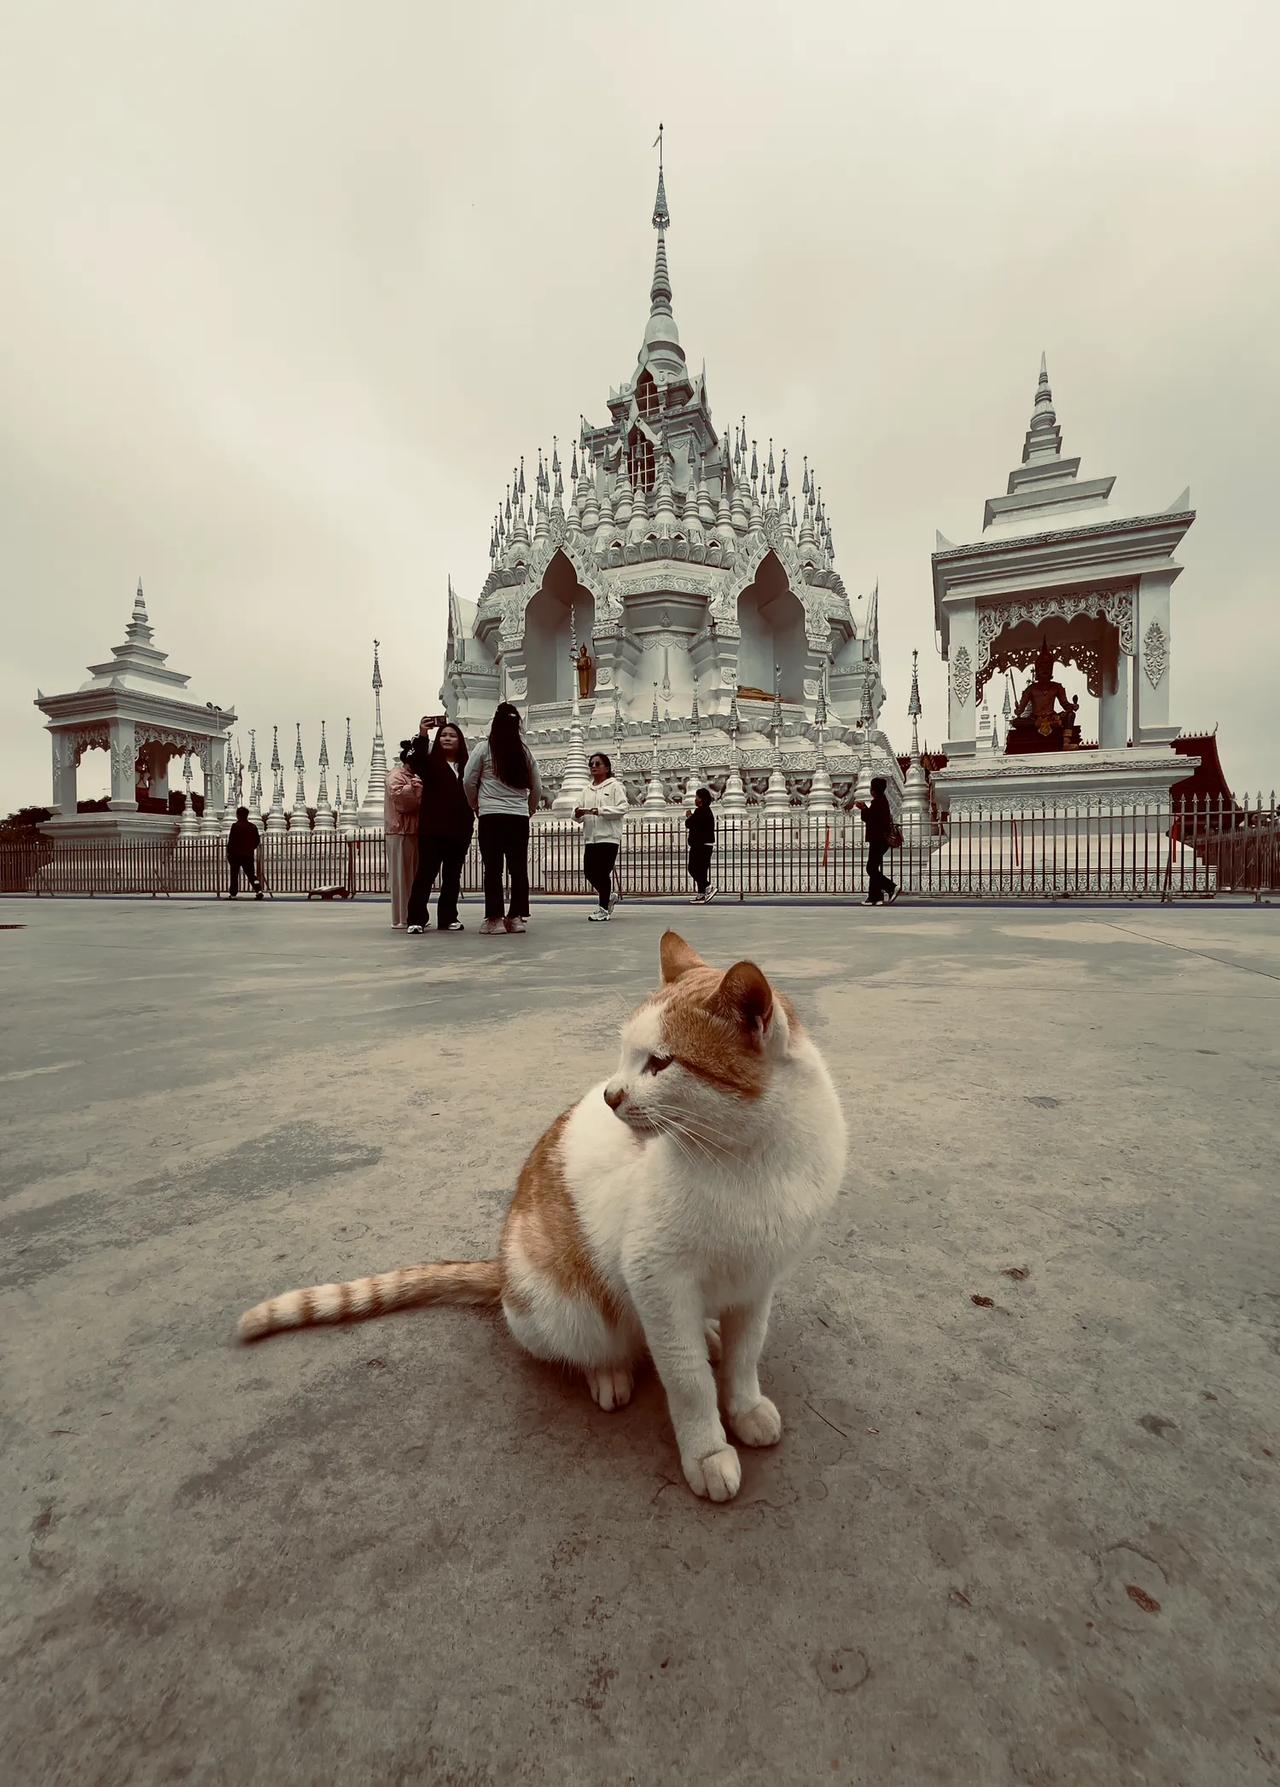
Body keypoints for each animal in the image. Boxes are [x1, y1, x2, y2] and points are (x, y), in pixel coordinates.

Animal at [239, 929, 850, 1501]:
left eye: (660, 1063)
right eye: (626, 1056)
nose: (610, 1095)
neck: (752, 1158)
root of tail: (503, 1272)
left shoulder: (757, 1280)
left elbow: (745, 1356)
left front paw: (743, 1406)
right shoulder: (656, 1277)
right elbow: (688, 1380)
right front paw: (706, 1451)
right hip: (565, 1306)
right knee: (594, 1343)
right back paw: (609, 1371)